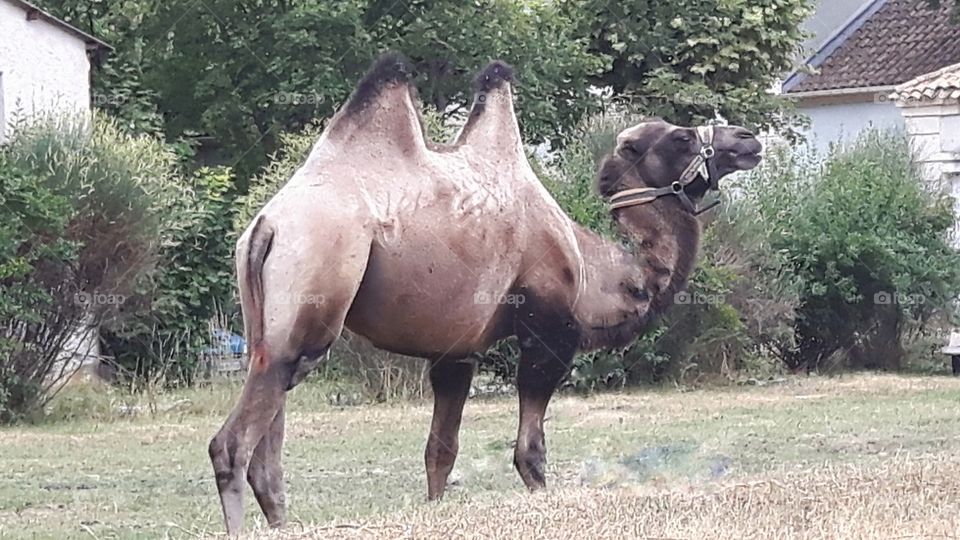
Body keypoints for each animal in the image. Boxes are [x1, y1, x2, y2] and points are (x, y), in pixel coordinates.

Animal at [209, 53, 763, 534]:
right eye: (681, 136)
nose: (748, 139)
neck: (596, 270)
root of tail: (267, 225)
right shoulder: (548, 334)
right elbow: (530, 453)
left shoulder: (457, 352)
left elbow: (440, 452)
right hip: (315, 285)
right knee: (232, 445)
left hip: (268, 322)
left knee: (268, 439)